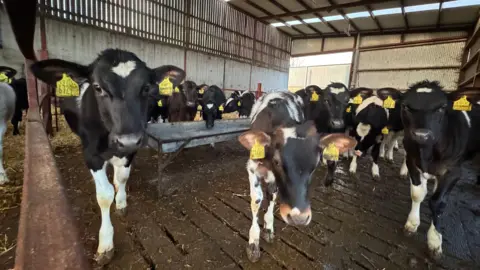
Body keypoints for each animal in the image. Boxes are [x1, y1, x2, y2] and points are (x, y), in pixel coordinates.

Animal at [29, 48, 185, 266]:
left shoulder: (130, 150)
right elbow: (104, 195)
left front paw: (121, 202)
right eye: (98, 87)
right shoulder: (92, 155)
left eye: (146, 87)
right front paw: (105, 243)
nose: (127, 140)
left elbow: (122, 179)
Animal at [238, 92, 354, 262]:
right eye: (277, 161)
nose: (299, 218)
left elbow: (272, 196)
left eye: (315, 164)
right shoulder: (253, 168)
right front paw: (253, 242)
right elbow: (257, 200)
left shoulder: (274, 180)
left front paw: (268, 228)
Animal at [400, 81, 480, 260]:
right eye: (406, 106)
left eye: (442, 107)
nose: (422, 134)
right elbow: (417, 194)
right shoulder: (411, 162)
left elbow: (437, 202)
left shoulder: (453, 172)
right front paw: (412, 223)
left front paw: (434, 240)